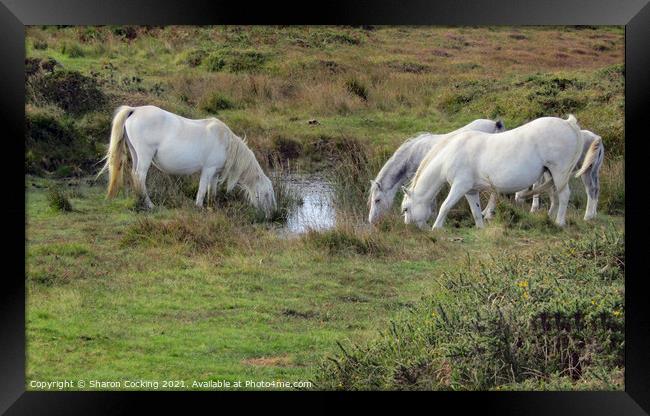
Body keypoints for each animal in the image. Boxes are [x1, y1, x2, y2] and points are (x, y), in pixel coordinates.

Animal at [98, 105, 276, 218]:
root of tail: (134, 110)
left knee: (135, 176)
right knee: (140, 177)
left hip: (136, 154)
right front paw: (199, 207)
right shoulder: (208, 170)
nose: (271, 215)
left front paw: (212, 207)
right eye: (266, 194)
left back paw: (139, 200)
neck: (225, 141)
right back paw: (149, 204)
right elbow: (202, 190)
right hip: (145, 155)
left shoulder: (215, 173)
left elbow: (212, 191)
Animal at [368, 118, 504, 226]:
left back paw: (488, 213)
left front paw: (432, 216)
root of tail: (495, 124)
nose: (372, 221)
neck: (412, 155)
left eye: (377, 200)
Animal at [402, 115, 600, 229]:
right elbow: (475, 211)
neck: (451, 154)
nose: (410, 228)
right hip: (550, 175)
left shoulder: (459, 187)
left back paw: (560, 223)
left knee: (564, 195)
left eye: (405, 208)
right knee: (555, 197)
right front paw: (480, 228)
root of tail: (569, 123)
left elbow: (445, 206)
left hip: (559, 173)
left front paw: (436, 228)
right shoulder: (471, 191)